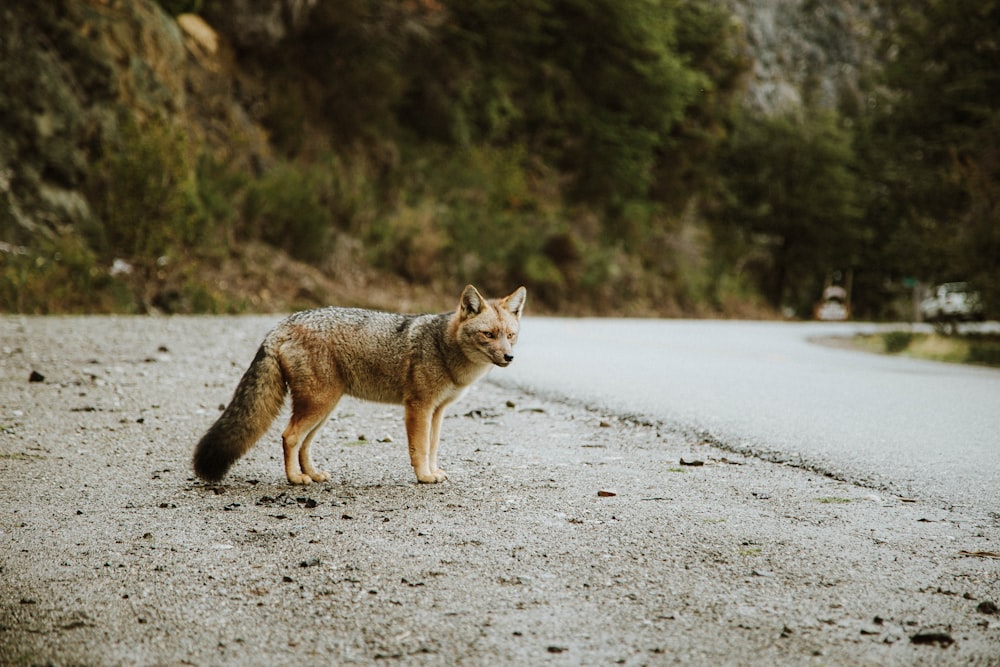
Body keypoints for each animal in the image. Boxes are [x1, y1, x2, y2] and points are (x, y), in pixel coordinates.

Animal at [190, 286, 528, 486]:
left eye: (510, 335)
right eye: (488, 334)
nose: (510, 357)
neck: (443, 347)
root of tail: (281, 325)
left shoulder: (438, 411)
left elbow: (432, 447)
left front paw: (434, 472)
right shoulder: (418, 408)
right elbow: (419, 449)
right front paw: (423, 477)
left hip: (324, 408)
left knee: (303, 444)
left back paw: (312, 474)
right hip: (318, 405)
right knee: (289, 437)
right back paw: (296, 479)